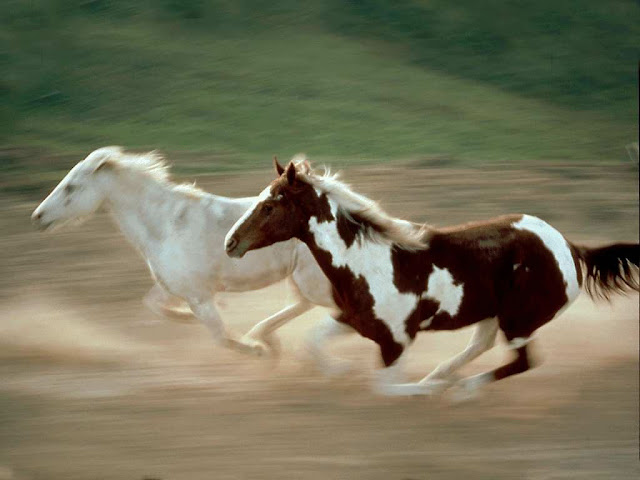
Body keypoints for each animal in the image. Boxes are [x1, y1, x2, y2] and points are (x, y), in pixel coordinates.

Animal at [31, 147, 355, 369]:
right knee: (302, 305)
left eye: (71, 187)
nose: (38, 217)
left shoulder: (199, 296)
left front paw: (257, 350)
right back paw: (267, 337)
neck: (165, 225)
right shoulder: (173, 287)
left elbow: (220, 335)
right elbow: (154, 306)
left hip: (314, 281)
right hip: (301, 279)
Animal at [224, 156, 639, 396]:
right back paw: (441, 378)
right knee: (481, 346)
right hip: (493, 314)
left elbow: (384, 388)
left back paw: (459, 389)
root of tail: (570, 247)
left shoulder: (396, 340)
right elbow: (312, 343)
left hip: (519, 319)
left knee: (522, 362)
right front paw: (338, 371)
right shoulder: (353, 320)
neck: (365, 261)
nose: (231, 242)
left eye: (269, 205)